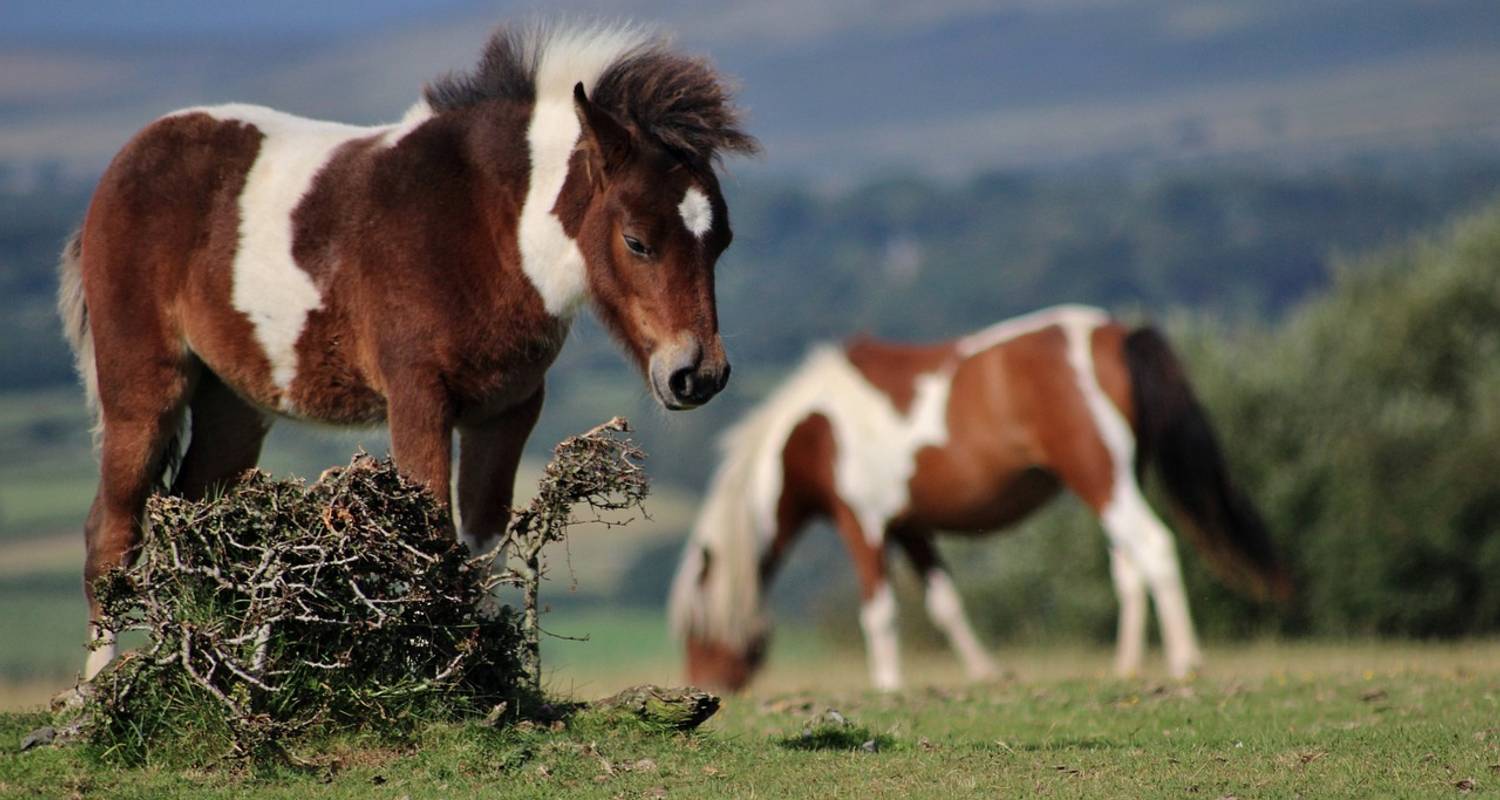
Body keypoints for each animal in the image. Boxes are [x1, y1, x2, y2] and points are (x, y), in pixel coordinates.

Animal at [58, 21, 756, 675]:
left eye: (723, 241)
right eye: (637, 241)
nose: (698, 374)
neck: (486, 227)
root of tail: (122, 165)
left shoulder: (507, 409)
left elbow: (479, 546)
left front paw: (490, 678)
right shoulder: (418, 398)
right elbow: (430, 537)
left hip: (235, 402)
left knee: (200, 519)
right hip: (144, 388)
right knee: (112, 535)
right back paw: (98, 693)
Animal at [669, 303, 1290, 690]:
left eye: (695, 626)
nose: (707, 684)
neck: (815, 429)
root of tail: (1116, 335)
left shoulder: (861, 522)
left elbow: (880, 612)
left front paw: (887, 685)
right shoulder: (910, 526)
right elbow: (946, 604)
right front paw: (987, 674)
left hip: (1101, 478)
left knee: (1155, 547)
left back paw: (1185, 661)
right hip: (1116, 480)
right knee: (1128, 566)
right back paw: (1126, 668)